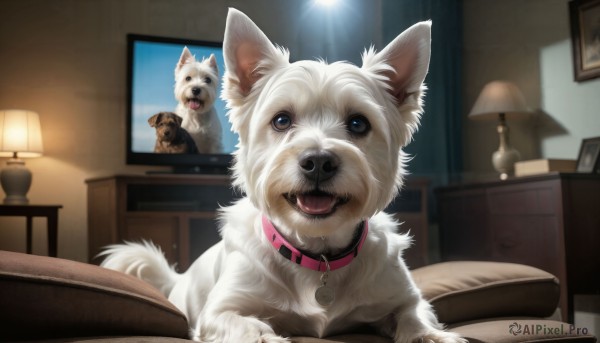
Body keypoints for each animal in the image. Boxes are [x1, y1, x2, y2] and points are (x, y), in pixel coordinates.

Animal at [102, 8, 468, 343]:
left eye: (358, 123)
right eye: (281, 120)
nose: (318, 161)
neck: (318, 254)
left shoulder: (406, 298)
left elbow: (415, 317)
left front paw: (431, 336)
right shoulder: (220, 310)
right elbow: (247, 326)